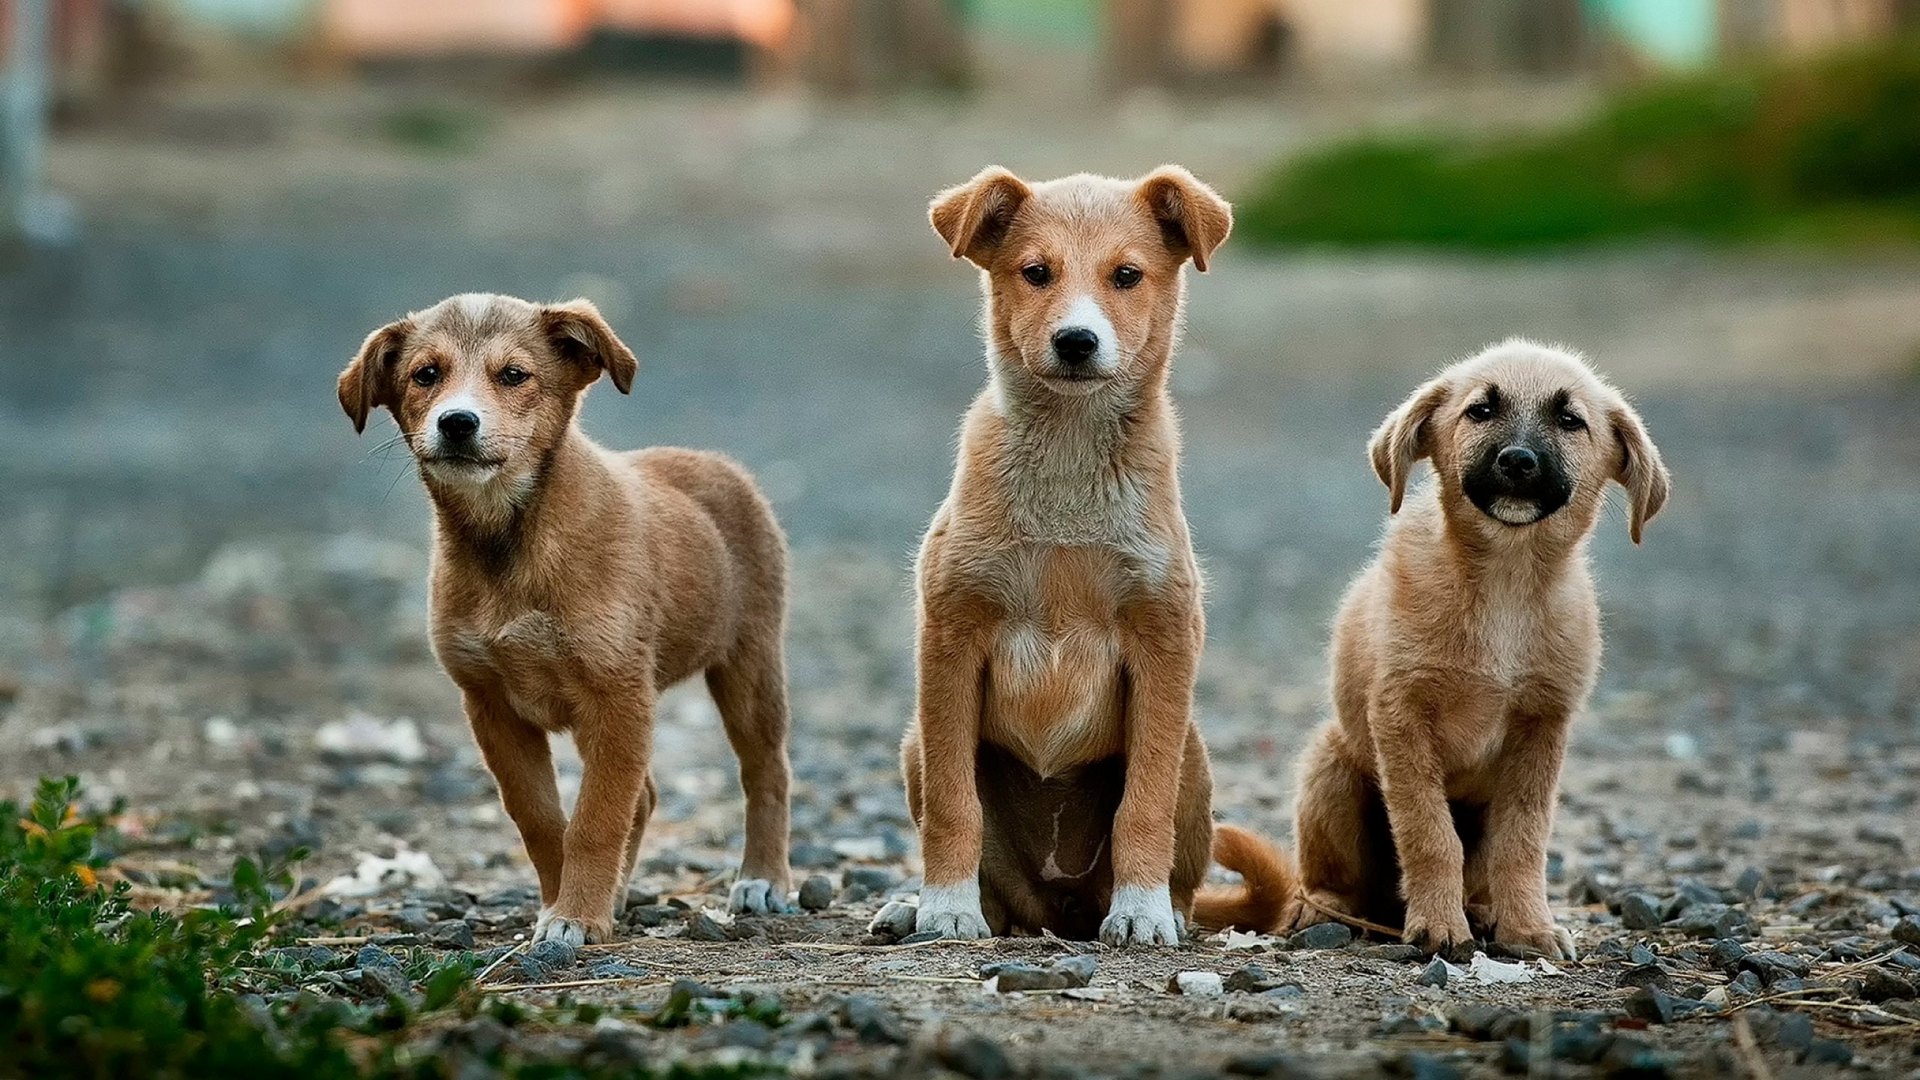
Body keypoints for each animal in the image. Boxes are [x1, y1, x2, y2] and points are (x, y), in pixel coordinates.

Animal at [337, 290, 794, 937]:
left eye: (514, 375)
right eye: (425, 375)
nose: (457, 422)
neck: (508, 542)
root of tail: (715, 462)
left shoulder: (618, 694)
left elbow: (597, 819)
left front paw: (576, 916)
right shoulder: (492, 704)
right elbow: (542, 819)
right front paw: (563, 903)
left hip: (749, 666)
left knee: (766, 772)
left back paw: (762, 879)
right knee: (645, 797)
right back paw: (620, 893)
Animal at [879, 161, 1228, 941]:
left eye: (1127, 276)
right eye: (1035, 272)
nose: (1076, 341)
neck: (1069, 461)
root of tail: (1059, 908)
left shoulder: (1165, 639)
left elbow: (1144, 805)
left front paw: (1141, 912)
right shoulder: (950, 635)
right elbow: (953, 805)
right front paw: (945, 907)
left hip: (1193, 751)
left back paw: (1163, 909)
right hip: (916, 742)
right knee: (994, 881)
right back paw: (924, 905)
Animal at [1198, 340, 1666, 953]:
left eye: (1570, 421)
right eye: (1480, 410)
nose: (1518, 460)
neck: (1505, 582)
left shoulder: (1542, 727)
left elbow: (1522, 841)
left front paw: (1528, 927)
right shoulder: (1401, 715)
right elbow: (1429, 833)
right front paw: (1440, 926)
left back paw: (1483, 911)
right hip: (1331, 765)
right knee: (1327, 880)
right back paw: (1326, 909)